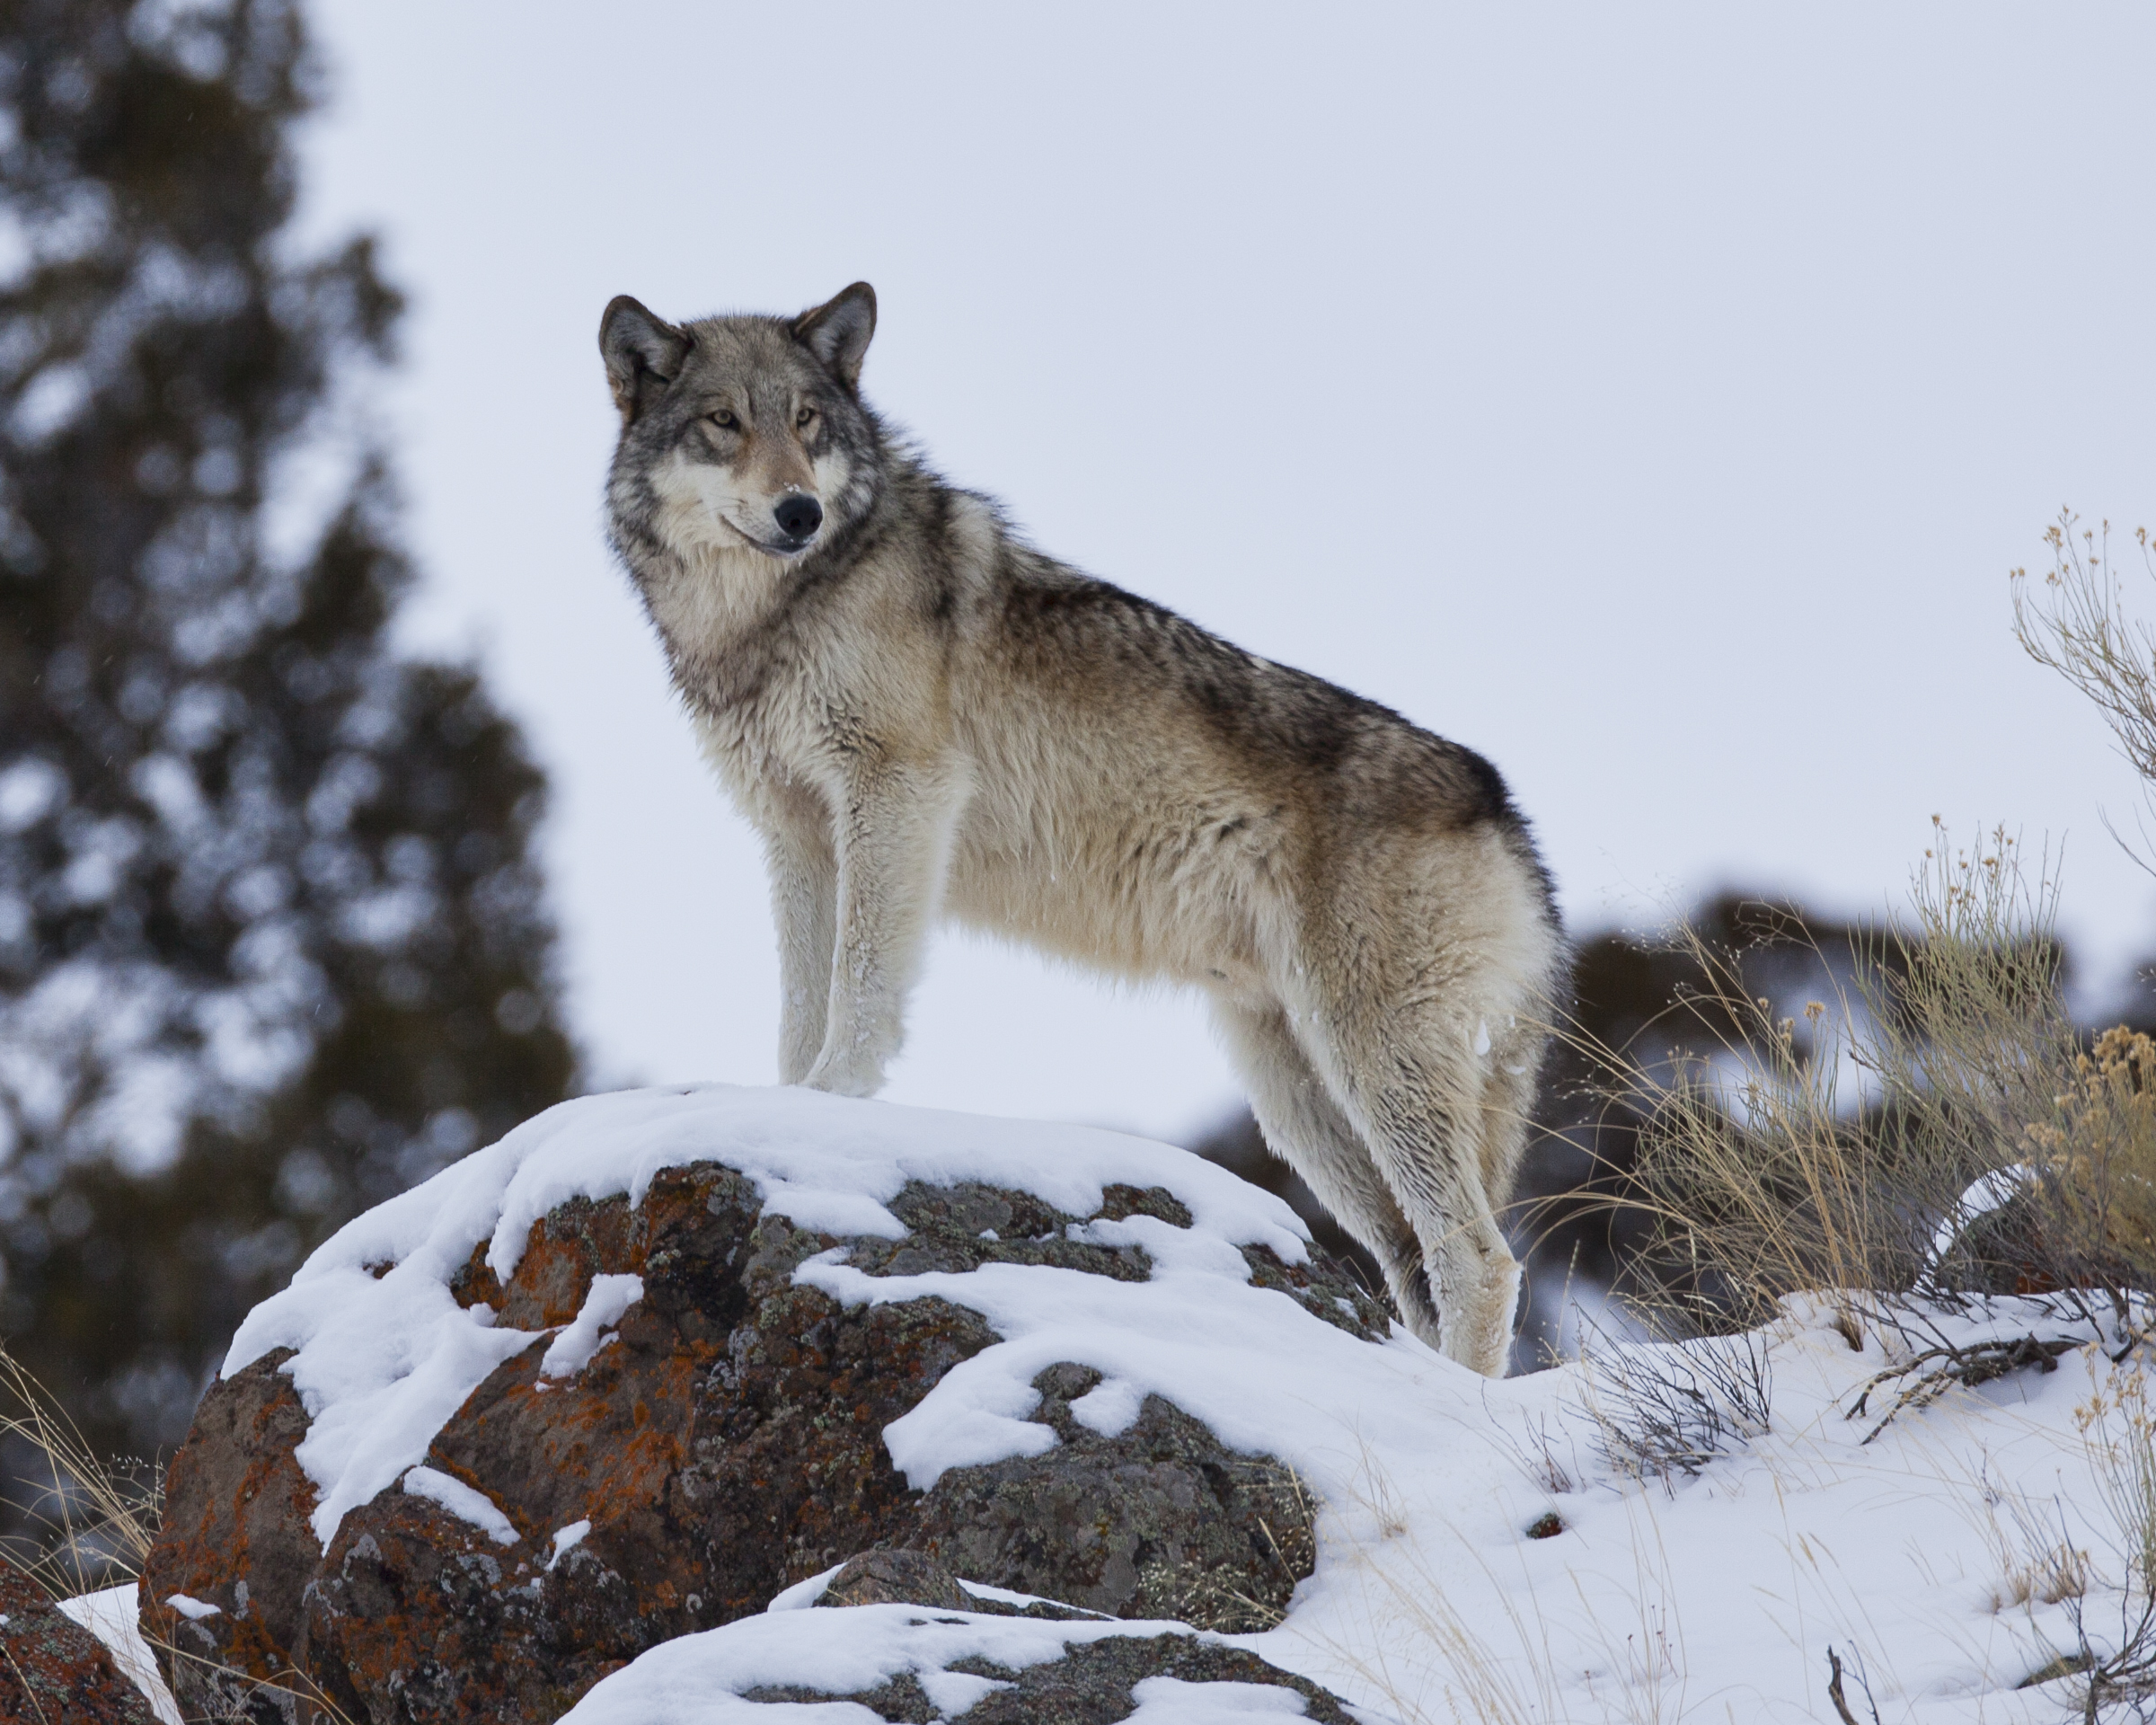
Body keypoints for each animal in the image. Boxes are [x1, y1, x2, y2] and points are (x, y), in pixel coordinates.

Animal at [599, 287, 1560, 1371]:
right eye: (725, 421)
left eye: (806, 422)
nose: (799, 511)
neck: (774, 615)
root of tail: (1507, 812)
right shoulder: (797, 834)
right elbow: (801, 1003)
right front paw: (785, 1108)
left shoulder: (898, 789)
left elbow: (860, 988)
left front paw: (834, 1102)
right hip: (1297, 1095)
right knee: (1410, 1257)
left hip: (1372, 1062)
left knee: (1478, 1259)